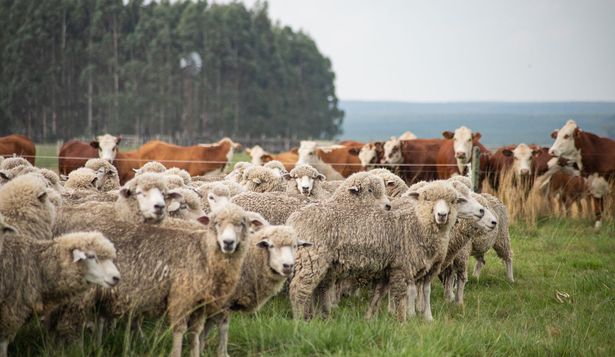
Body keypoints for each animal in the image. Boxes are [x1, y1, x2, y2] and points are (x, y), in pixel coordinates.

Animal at [201, 224, 310, 354]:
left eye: (295, 246)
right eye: (271, 245)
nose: (288, 266)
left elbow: (207, 326)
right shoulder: (223, 301)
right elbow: (222, 327)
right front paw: (222, 353)